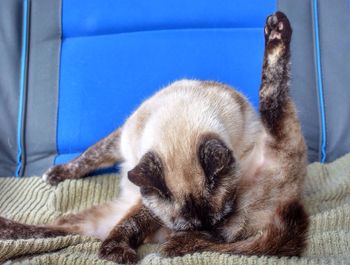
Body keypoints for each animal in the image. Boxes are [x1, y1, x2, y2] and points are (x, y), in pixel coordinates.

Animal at [0, 11, 308, 262]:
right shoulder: (122, 143)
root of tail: (289, 199)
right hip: (87, 220)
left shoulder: (148, 204)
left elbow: (129, 225)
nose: (197, 233)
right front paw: (55, 174)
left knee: (273, 96)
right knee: (52, 229)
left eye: (218, 220)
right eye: (188, 225)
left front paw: (117, 253)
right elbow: (87, 157)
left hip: (273, 134)